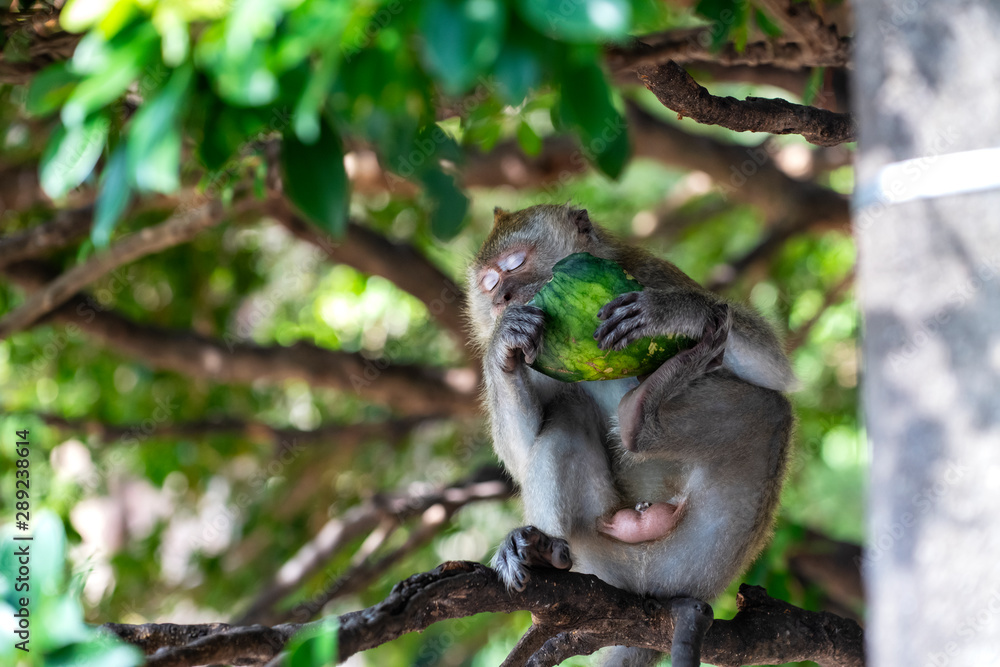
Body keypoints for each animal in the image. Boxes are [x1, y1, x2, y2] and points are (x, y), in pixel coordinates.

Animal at [466, 204, 794, 667]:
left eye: (514, 263)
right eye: (489, 283)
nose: (501, 300)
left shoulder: (650, 272)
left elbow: (775, 369)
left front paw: (678, 311)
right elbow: (520, 452)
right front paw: (502, 345)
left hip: (700, 556)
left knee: (770, 410)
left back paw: (641, 415)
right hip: (595, 556)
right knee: (569, 410)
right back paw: (542, 552)